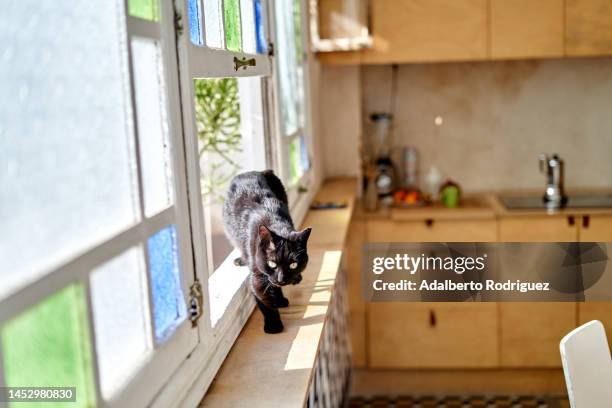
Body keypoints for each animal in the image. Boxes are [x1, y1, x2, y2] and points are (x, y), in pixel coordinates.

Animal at [222, 171, 310, 334]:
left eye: (293, 264)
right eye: (272, 263)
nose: (282, 278)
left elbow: (273, 285)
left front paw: (280, 299)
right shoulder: (257, 276)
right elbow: (266, 302)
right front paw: (274, 326)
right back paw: (241, 259)